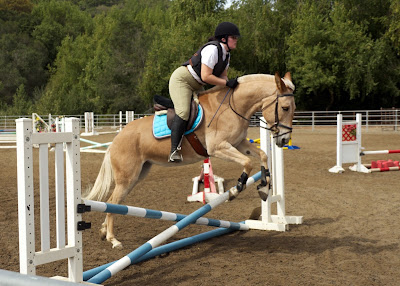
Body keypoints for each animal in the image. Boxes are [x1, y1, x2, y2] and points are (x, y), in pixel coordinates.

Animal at [84, 72, 296, 249]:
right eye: (285, 107)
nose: (284, 140)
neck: (233, 106)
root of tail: (115, 140)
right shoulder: (219, 148)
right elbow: (248, 163)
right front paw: (235, 191)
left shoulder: (239, 143)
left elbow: (262, 156)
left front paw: (264, 188)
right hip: (127, 177)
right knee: (112, 202)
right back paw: (113, 240)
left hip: (136, 176)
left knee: (115, 202)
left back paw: (104, 231)